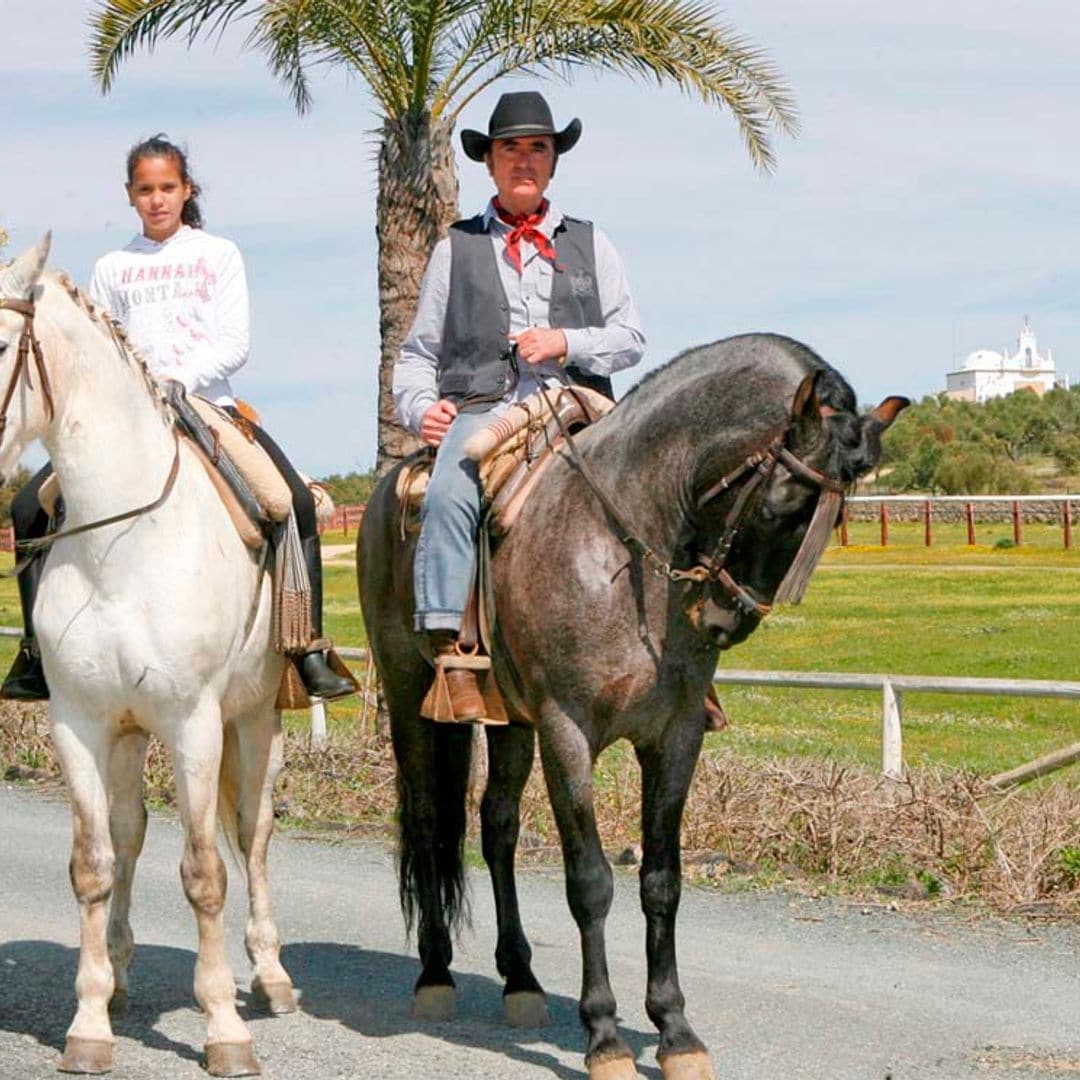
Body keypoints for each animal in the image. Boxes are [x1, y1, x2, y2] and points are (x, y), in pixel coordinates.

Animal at [1, 238, 295, 1080]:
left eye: (0, 346)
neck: (120, 540)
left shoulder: (192, 723)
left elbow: (204, 872)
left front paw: (225, 1029)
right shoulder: (80, 725)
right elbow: (94, 864)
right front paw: (90, 1021)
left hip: (255, 721)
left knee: (252, 833)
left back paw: (271, 977)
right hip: (130, 735)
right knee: (130, 834)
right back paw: (125, 975)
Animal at [358, 332, 907, 1075]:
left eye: (835, 519)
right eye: (779, 505)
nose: (723, 620)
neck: (624, 552)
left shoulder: (674, 736)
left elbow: (661, 881)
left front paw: (675, 1031)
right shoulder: (567, 732)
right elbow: (590, 882)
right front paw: (606, 1036)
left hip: (509, 722)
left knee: (497, 828)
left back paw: (520, 979)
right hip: (411, 694)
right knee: (425, 821)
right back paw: (436, 974)